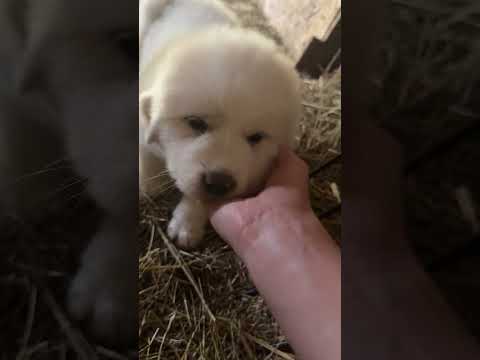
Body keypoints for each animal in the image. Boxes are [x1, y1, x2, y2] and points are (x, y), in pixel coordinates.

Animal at [141, 0, 302, 250]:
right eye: (195, 123)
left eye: (256, 137)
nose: (218, 183)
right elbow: (147, 159)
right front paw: (149, 185)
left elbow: (197, 198)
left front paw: (187, 224)